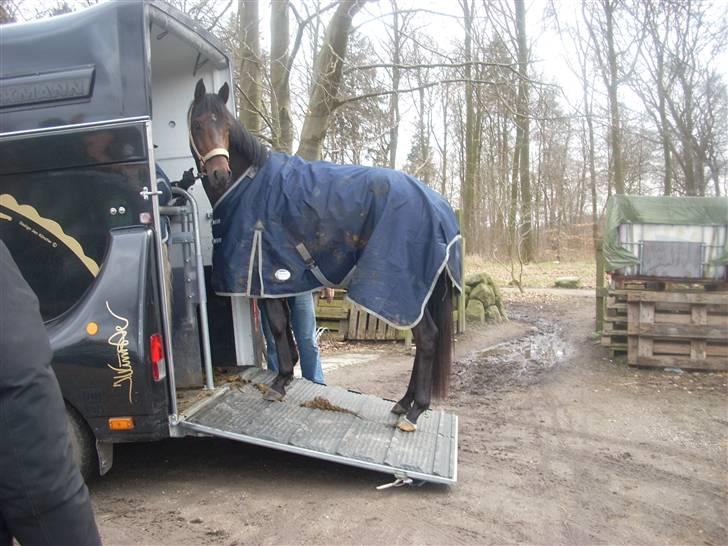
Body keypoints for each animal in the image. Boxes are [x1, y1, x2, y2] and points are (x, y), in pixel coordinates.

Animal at [188, 78, 460, 432]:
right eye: (197, 124)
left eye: (226, 127)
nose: (220, 173)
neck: (249, 184)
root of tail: (440, 206)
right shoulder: (280, 278)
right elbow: (283, 326)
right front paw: (287, 375)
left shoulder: (265, 273)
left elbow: (278, 326)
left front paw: (280, 382)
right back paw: (403, 404)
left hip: (401, 294)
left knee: (426, 338)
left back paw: (414, 412)